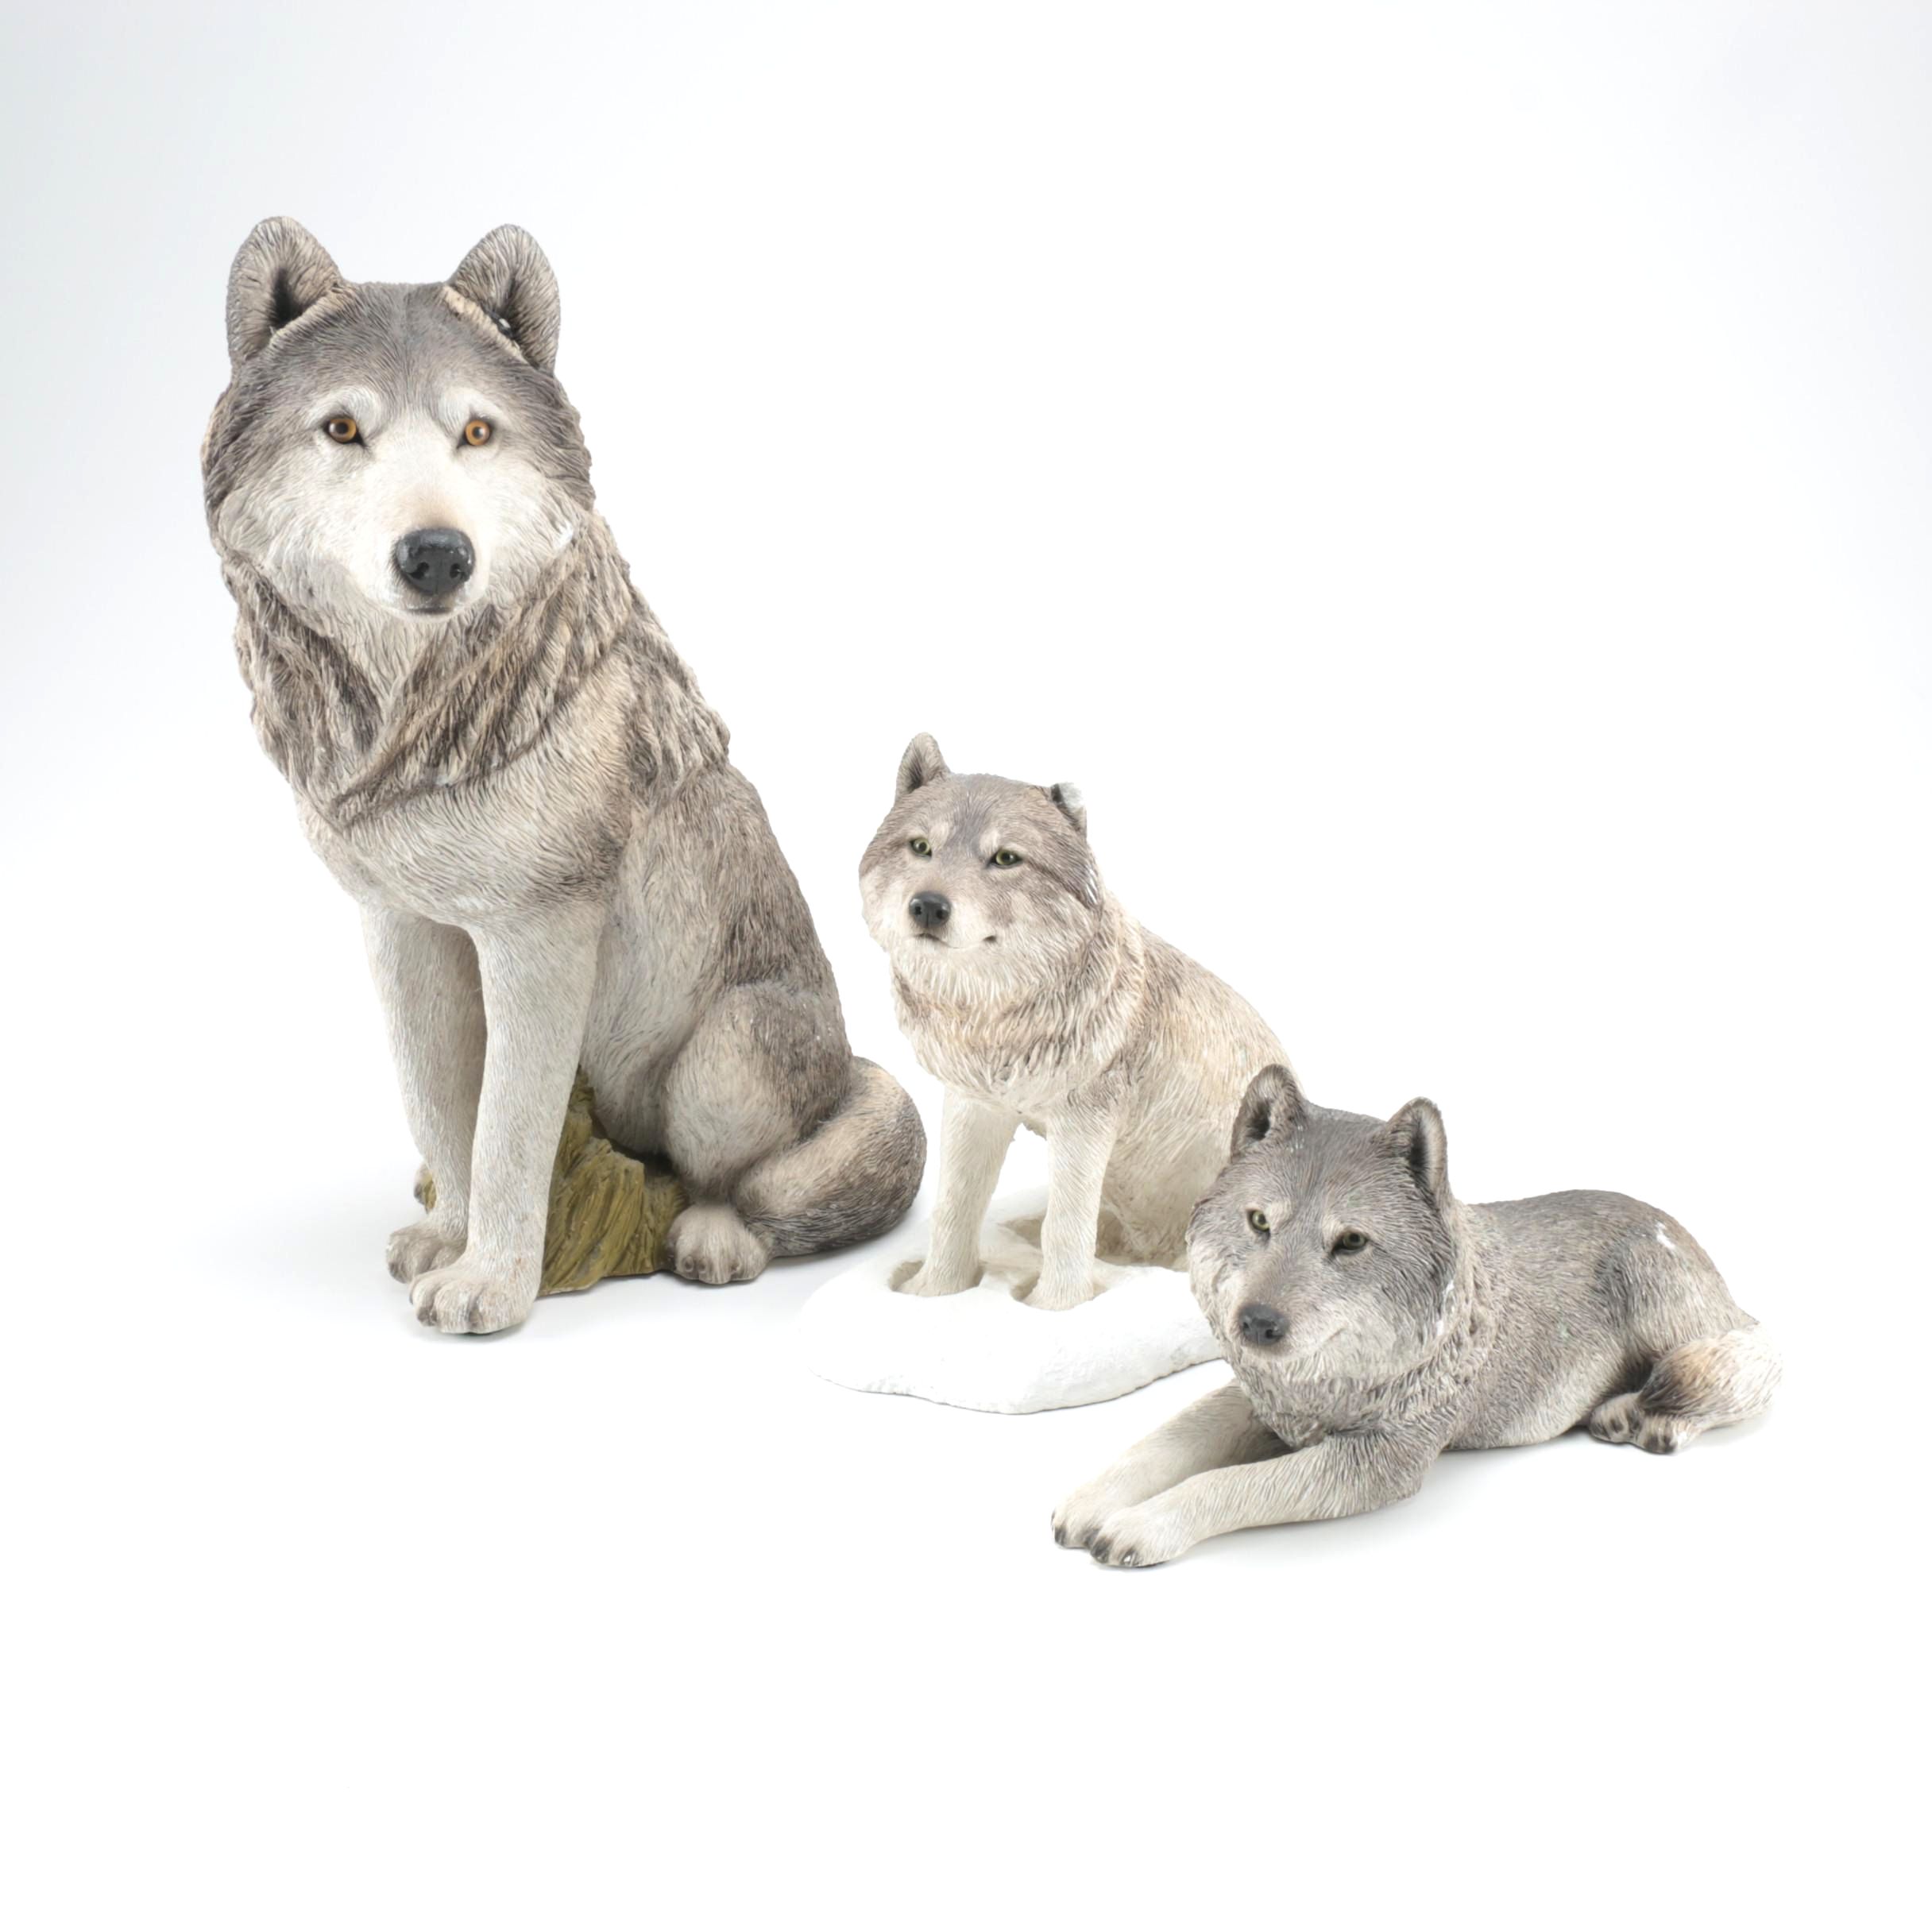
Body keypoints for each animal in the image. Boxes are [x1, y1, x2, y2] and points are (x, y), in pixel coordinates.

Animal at [204, 219, 923, 1332]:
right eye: (341, 429)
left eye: (476, 433)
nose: (437, 556)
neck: (418, 718)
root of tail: (848, 1066)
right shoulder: (400, 926)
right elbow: (439, 1104)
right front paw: (450, 1239)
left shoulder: (540, 934)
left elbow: (508, 1128)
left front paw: (493, 1286)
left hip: (727, 1052)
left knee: (728, 1179)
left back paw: (711, 1238)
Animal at [859, 736, 1285, 1309]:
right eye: (921, 847)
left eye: (1005, 859)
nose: (927, 906)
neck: (996, 1017)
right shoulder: (975, 1105)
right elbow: (953, 1210)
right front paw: (932, 1293)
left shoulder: (1084, 1121)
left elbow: (1064, 1228)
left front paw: (1053, 1307)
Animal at [1054, 1064, 1778, 1563]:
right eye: (1259, 1223)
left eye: (1350, 1242)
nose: (1256, 1324)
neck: (1334, 1378)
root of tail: (1680, 1230)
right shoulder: (1256, 1402)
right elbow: (1162, 1442)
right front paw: (1089, 1501)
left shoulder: (1379, 1462)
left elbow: (1231, 1486)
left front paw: (1140, 1525)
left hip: (1658, 1286)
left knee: (1746, 1367)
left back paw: (1642, 1416)